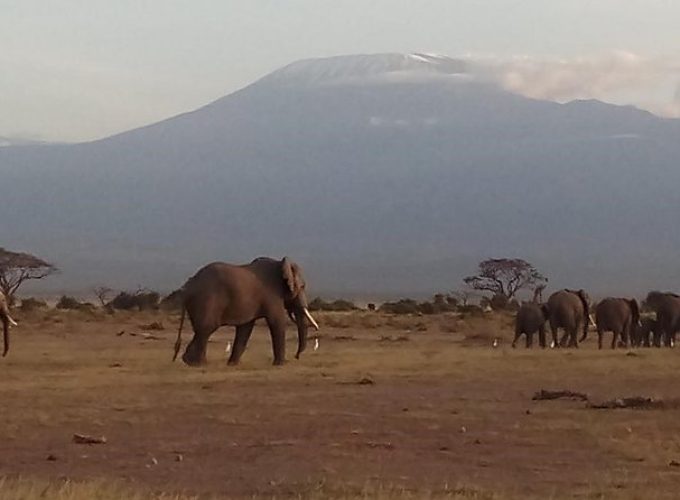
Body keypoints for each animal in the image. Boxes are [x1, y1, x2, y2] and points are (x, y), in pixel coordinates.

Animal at [170, 256, 318, 366]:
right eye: (302, 286)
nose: (296, 356)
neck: (280, 264)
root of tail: (188, 286)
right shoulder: (272, 294)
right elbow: (277, 321)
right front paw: (281, 364)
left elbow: (246, 327)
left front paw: (232, 365)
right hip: (206, 300)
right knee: (206, 329)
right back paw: (198, 364)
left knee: (201, 330)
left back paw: (192, 362)